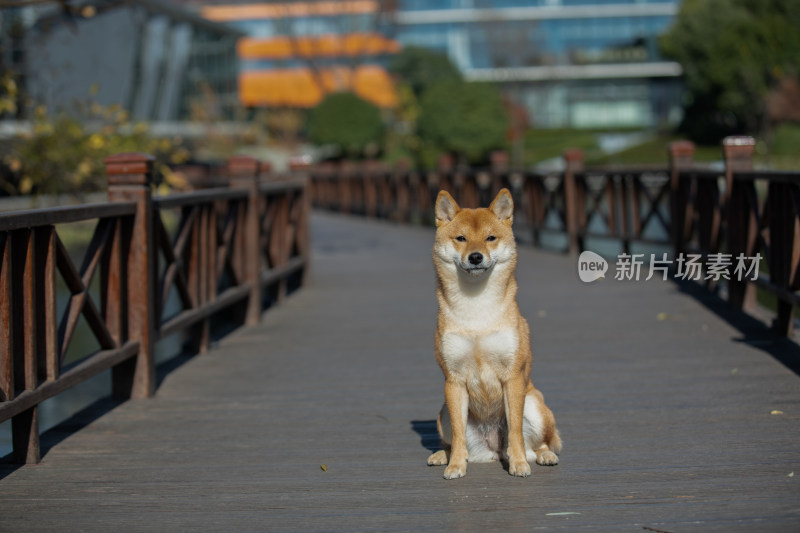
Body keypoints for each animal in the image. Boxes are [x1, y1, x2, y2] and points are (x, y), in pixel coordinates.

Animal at [428, 188, 560, 478]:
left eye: (490, 238)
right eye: (461, 238)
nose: (476, 256)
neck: (477, 308)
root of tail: (492, 449)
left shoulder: (513, 377)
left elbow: (516, 432)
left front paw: (519, 464)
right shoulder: (453, 381)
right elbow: (458, 435)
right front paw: (456, 465)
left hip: (534, 403)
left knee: (538, 443)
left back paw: (542, 456)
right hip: (443, 412)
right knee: (454, 440)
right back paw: (443, 455)